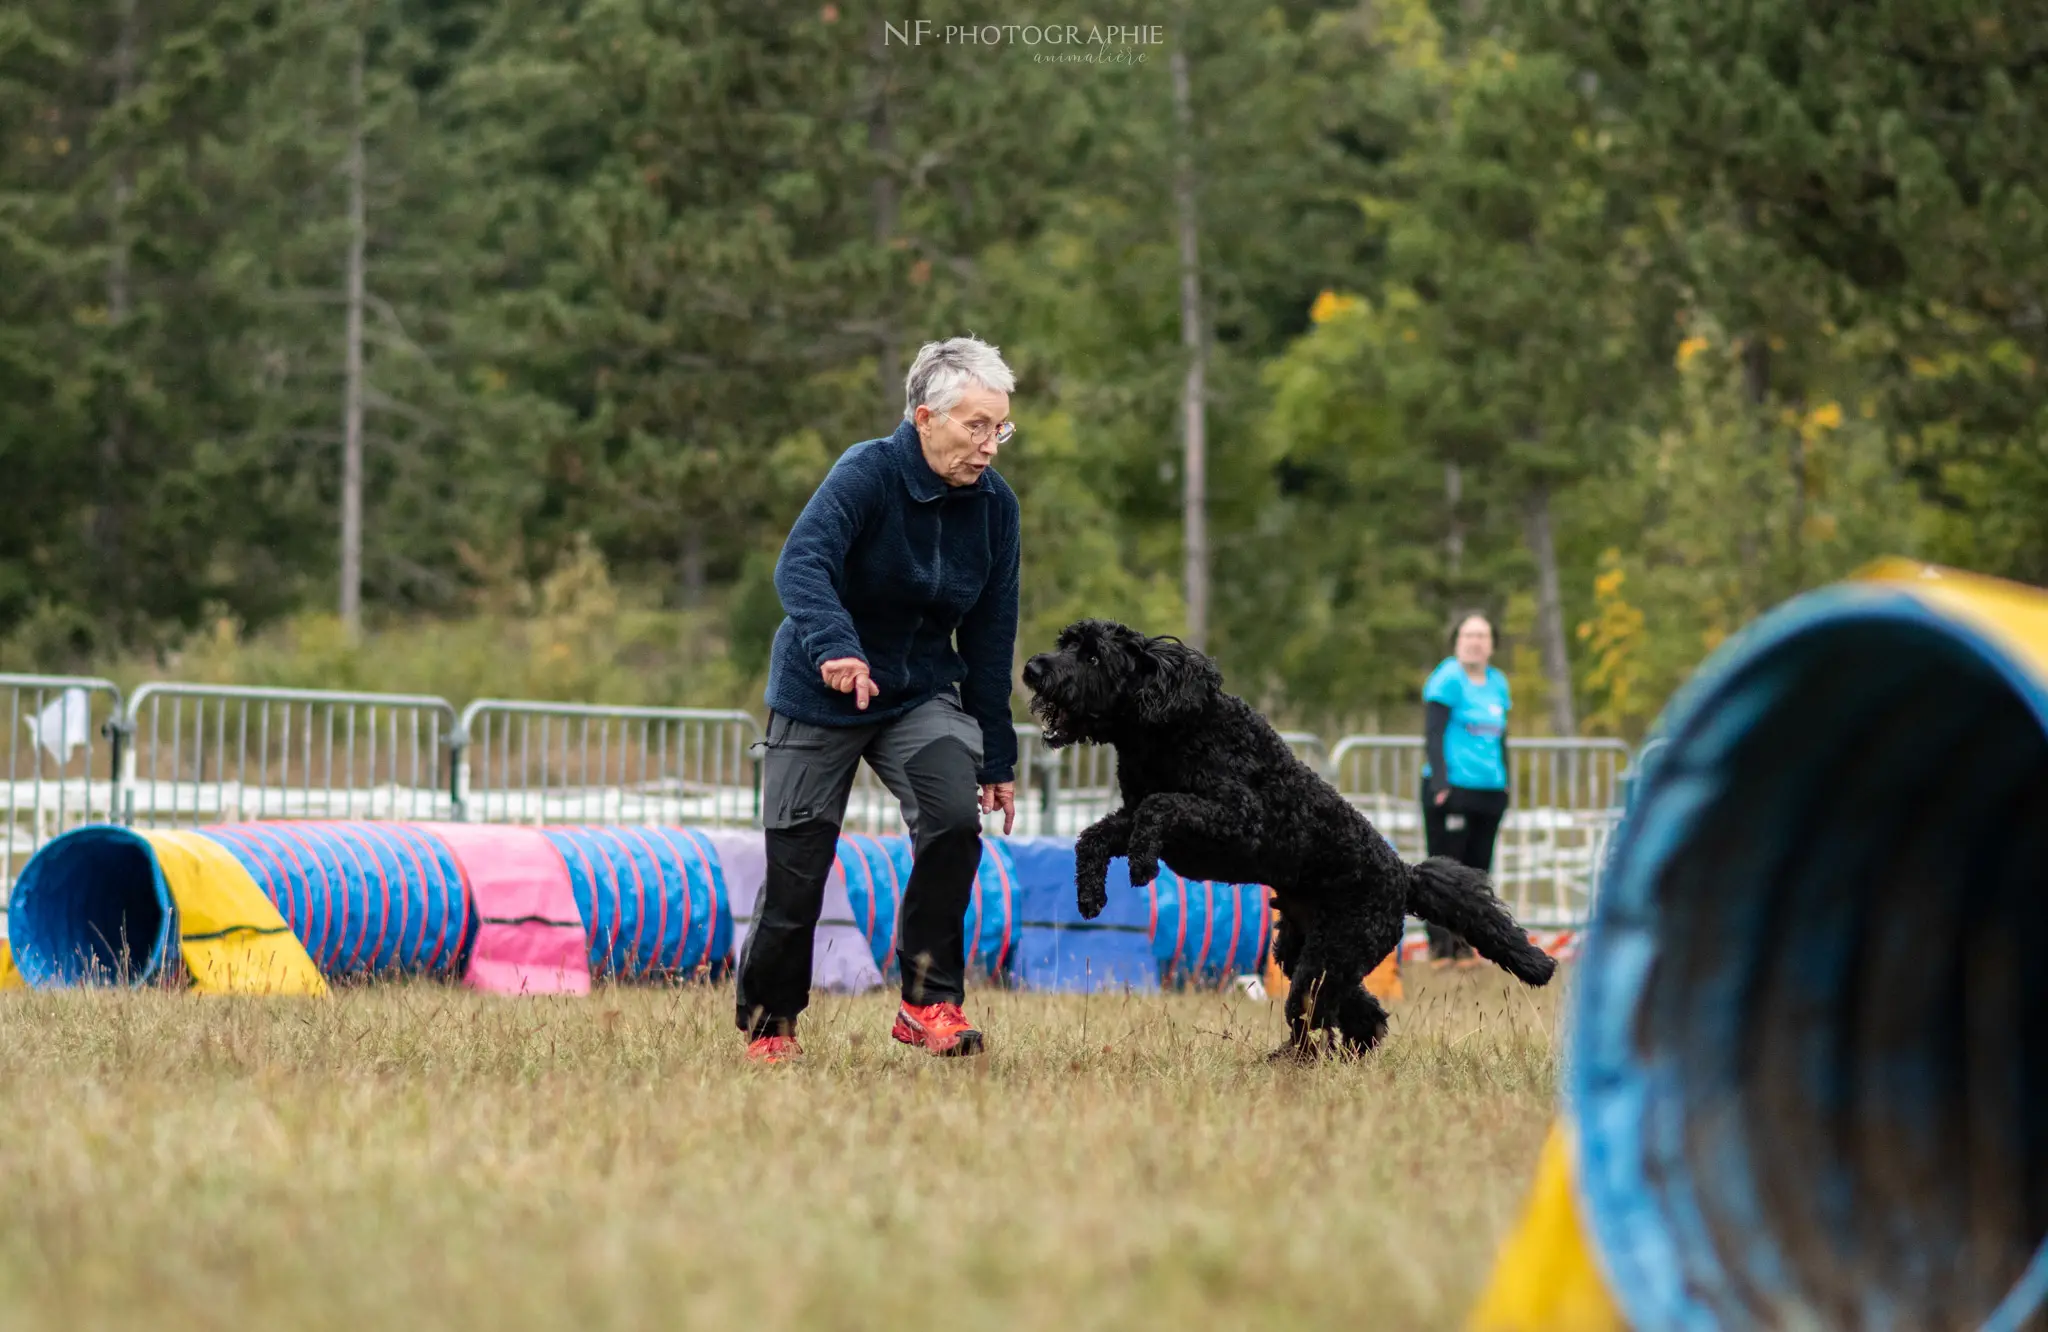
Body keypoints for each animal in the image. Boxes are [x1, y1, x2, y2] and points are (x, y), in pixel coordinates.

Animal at [1024, 614, 1548, 1057]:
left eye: (1094, 657)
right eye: (1066, 643)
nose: (1032, 668)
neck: (1170, 727)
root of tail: (1404, 875)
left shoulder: (1235, 820)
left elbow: (1161, 807)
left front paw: (1141, 865)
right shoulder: (1132, 815)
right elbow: (1092, 835)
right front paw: (1090, 895)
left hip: (1332, 952)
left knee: (1317, 1013)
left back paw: (1295, 1062)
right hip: (1306, 953)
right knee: (1357, 1011)